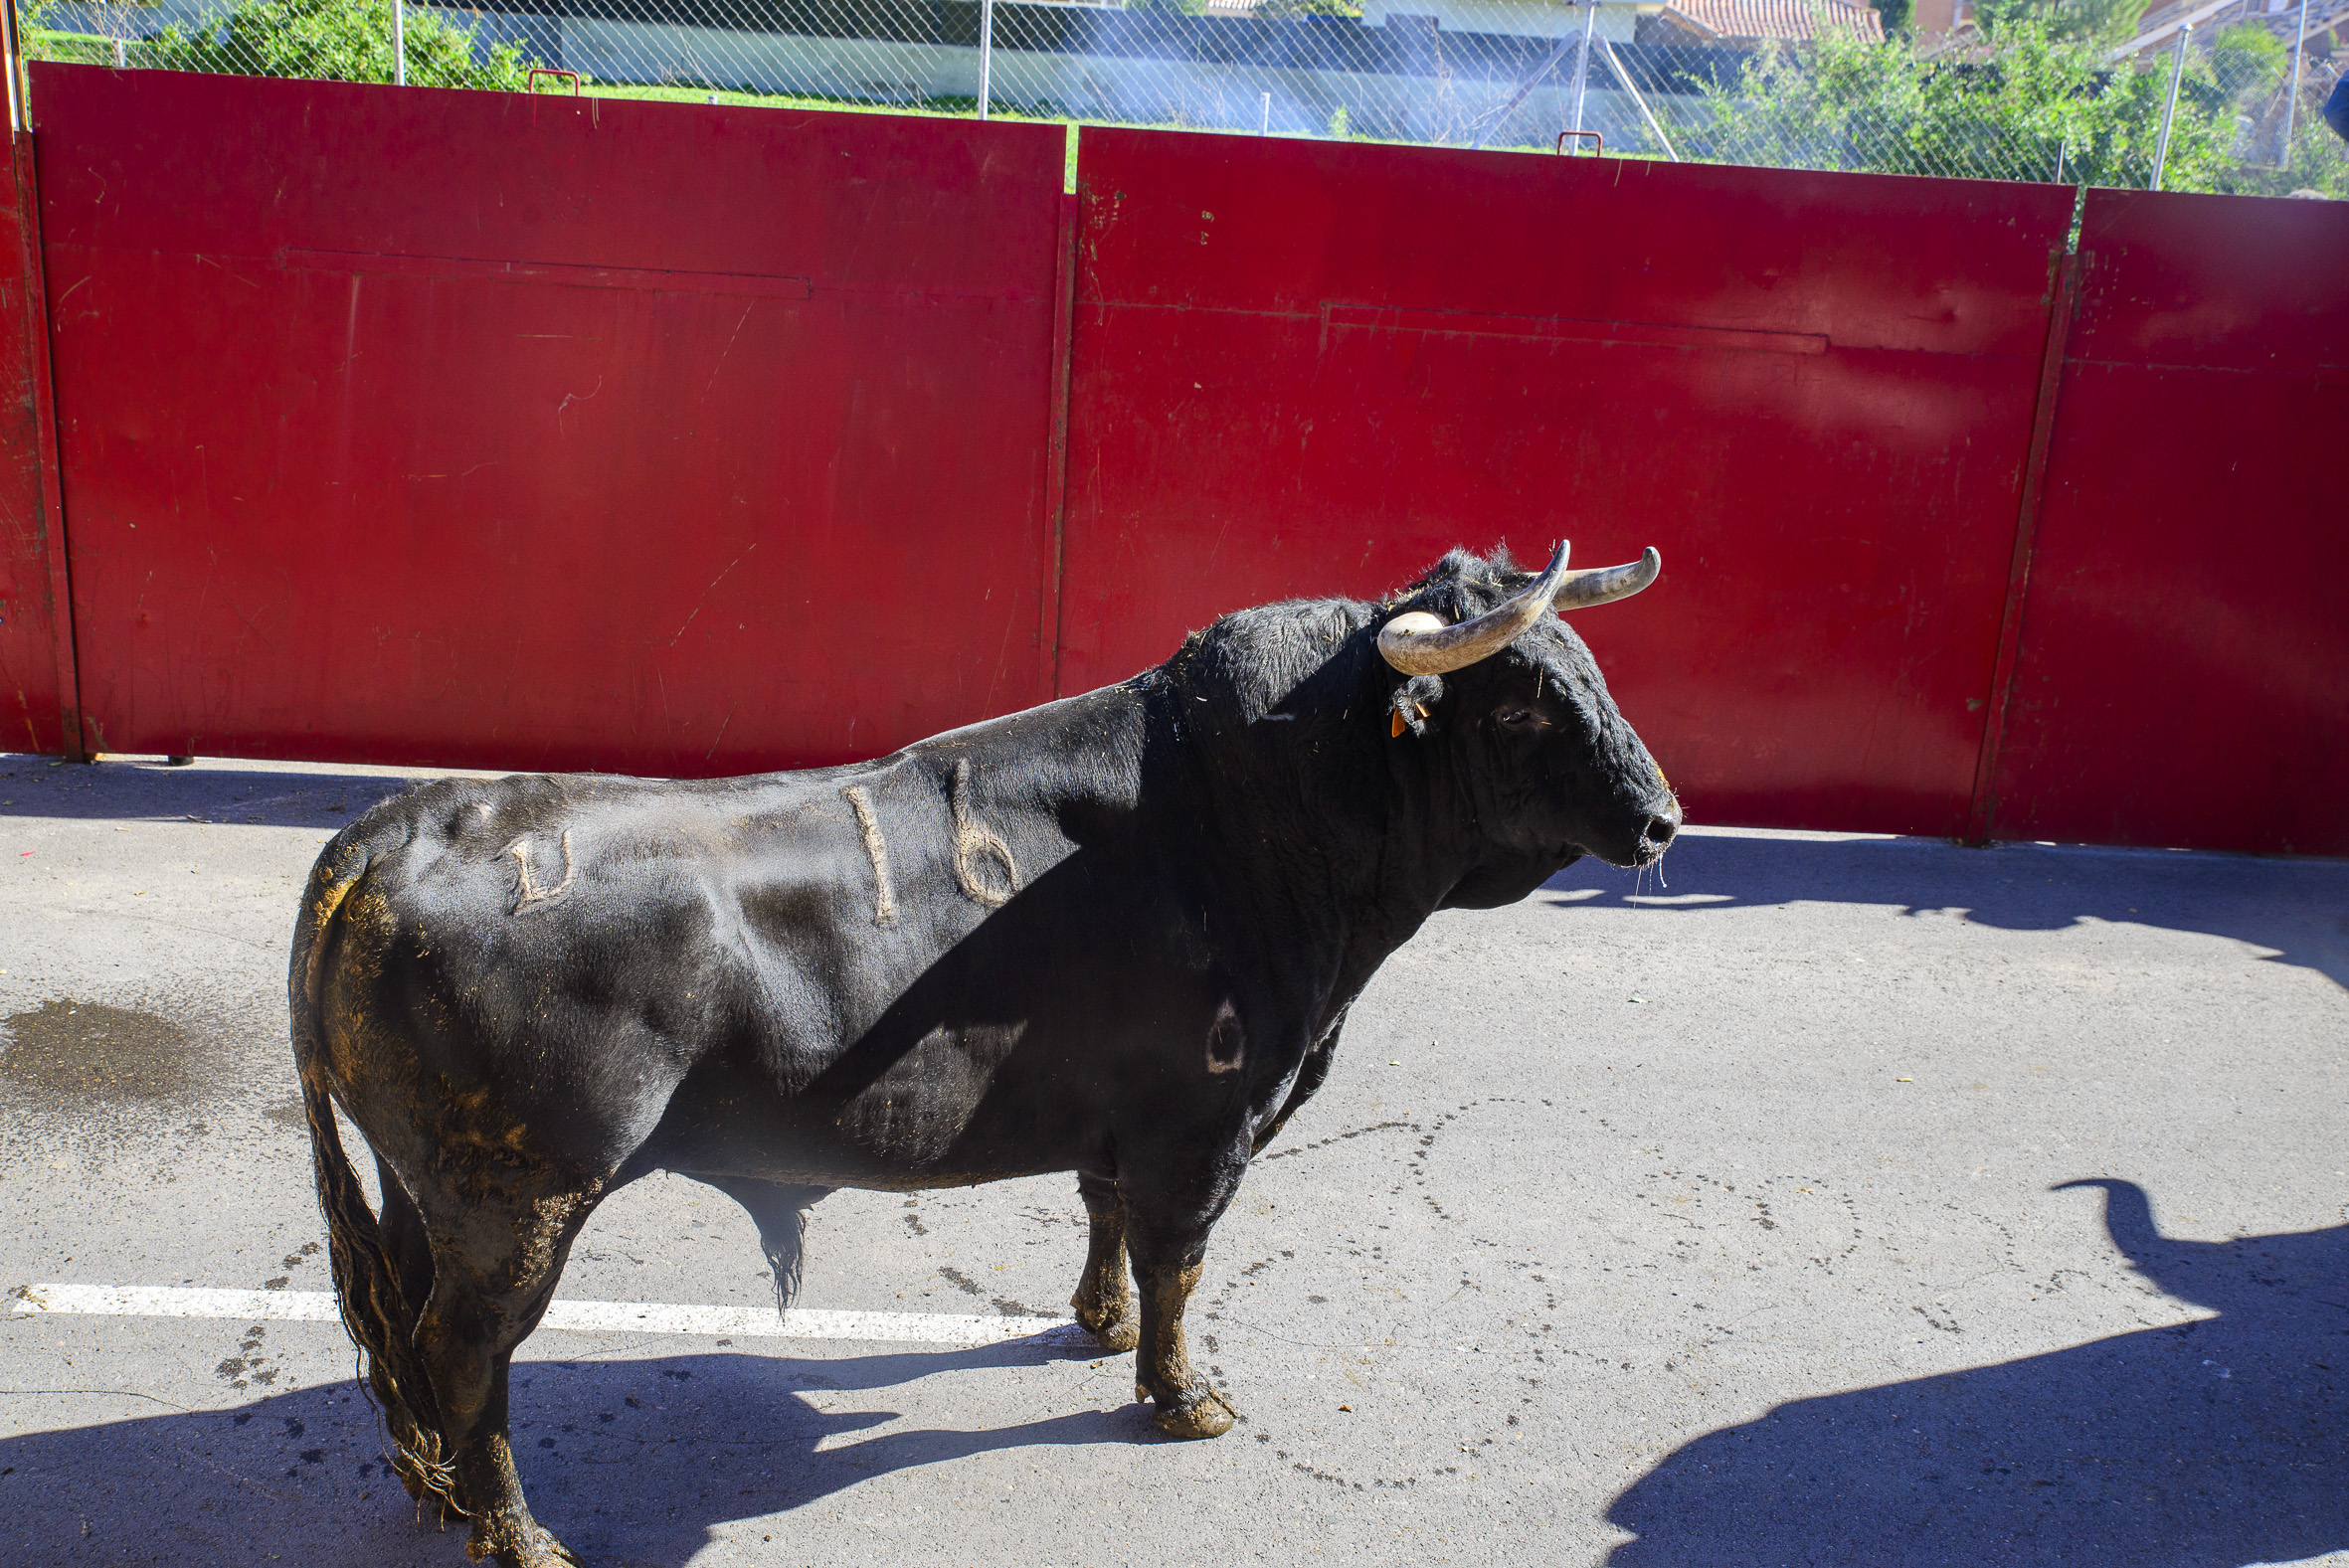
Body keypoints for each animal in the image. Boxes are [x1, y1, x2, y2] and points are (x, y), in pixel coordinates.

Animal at [293, 542, 1682, 1567]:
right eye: (1521, 704)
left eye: (1593, 670)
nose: (1664, 817)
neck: (1252, 820)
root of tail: (402, 821)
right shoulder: (1204, 1124)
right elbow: (1178, 1261)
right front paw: (1182, 1395)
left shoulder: (1128, 1119)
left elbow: (1106, 1215)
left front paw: (1100, 1326)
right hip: (519, 1198)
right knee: (467, 1348)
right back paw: (516, 1534)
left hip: (429, 1186)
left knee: (408, 1324)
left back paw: (437, 1495)